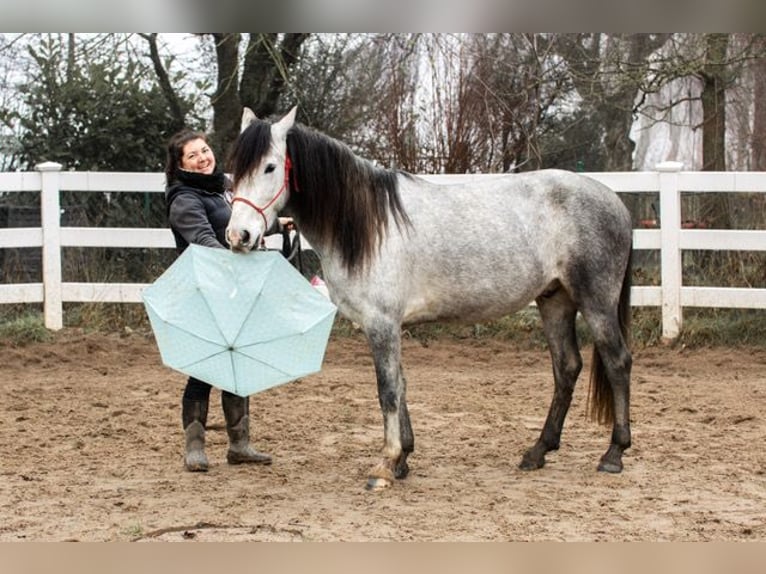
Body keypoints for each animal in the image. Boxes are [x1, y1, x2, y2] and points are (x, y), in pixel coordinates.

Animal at [225, 107, 632, 490]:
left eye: (270, 167)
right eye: (235, 169)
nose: (238, 235)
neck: (367, 225)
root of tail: (615, 201)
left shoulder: (382, 323)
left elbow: (388, 390)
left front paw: (385, 466)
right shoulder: (390, 326)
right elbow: (401, 384)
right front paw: (403, 459)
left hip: (596, 302)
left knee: (617, 362)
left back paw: (614, 453)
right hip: (555, 300)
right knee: (566, 367)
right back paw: (538, 451)